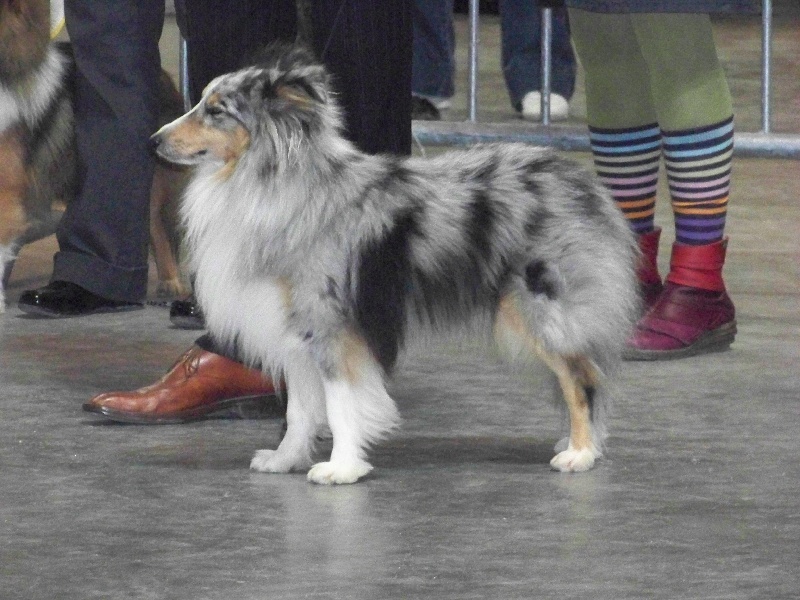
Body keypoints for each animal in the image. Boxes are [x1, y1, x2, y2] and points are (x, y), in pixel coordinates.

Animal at [148, 43, 636, 482]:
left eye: (216, 111)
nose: (152, 140)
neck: (269, 182)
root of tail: (579, 179)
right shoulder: (296, 331)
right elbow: (302, 408)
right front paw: (286, 459)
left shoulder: (331, 325)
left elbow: (340, 403)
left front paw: (342, 468)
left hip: (542, 309)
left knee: (583, 378)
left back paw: (580, 453)